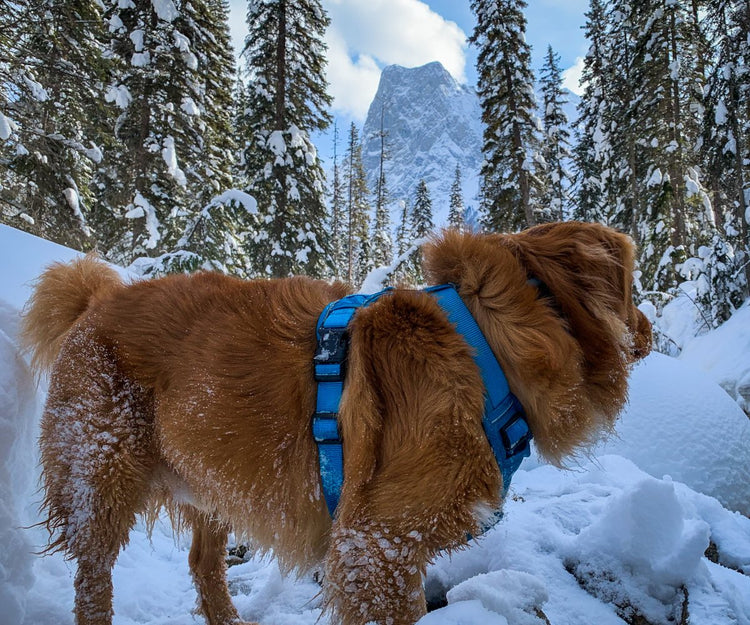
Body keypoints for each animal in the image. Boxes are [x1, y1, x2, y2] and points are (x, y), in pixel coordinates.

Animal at [23, 222, 652, 620]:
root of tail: (95, 301)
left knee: (204, 564)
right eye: (632, 288)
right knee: (93, 577)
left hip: (213, 476)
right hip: (100, 475)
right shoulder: (376, 547)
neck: (483, 349)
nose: (649, 329)